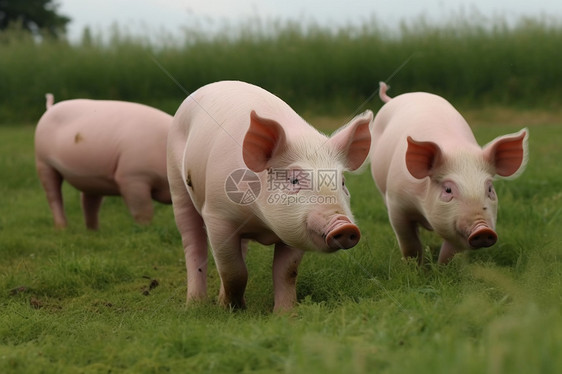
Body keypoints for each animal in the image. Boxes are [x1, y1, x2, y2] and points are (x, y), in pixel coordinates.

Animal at [35, 93, 171, 231]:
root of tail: (50, 108)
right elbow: (143, 210)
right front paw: (145, 229)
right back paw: (62, 228)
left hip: (92, 179)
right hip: (42, 161)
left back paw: (94, 231)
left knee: (88, 202)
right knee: (54, 196)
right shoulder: (132, 177)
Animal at [167, 80, 372, 312]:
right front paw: (233, 308)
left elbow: (286, 272)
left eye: (342, 182)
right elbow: (233, 270)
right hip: (176, 181)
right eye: (294, 180)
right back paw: (194, 305)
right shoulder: (216, 215)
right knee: (193, 244)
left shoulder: (294, 228)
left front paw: (285, 314)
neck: (261, 222)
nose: (345, 226)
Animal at [370, 82, 528, 262]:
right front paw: (415, 267)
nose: (483, 230)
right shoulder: (397, 204)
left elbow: (449, 254)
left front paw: (442, 267)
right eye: (448, 190)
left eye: (489, 189)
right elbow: (410, 245)